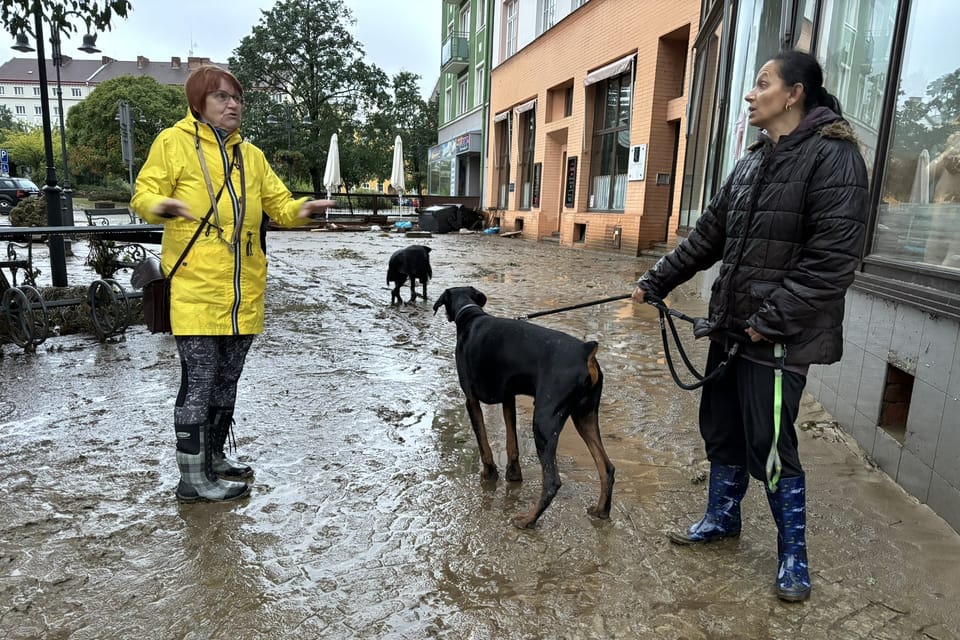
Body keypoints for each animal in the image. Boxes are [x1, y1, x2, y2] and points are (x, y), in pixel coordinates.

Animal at [436, 288, 616, 528]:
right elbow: (512, 443)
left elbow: (483, 443)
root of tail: (585, 350)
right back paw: (601, 510)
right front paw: (513, 475)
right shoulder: (508, 398)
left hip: (544, 420)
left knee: (552, 481)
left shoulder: (471, 400)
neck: (470, 315)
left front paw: (489, 473)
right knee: (606, 467)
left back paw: (528, 519)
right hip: (585, 416)